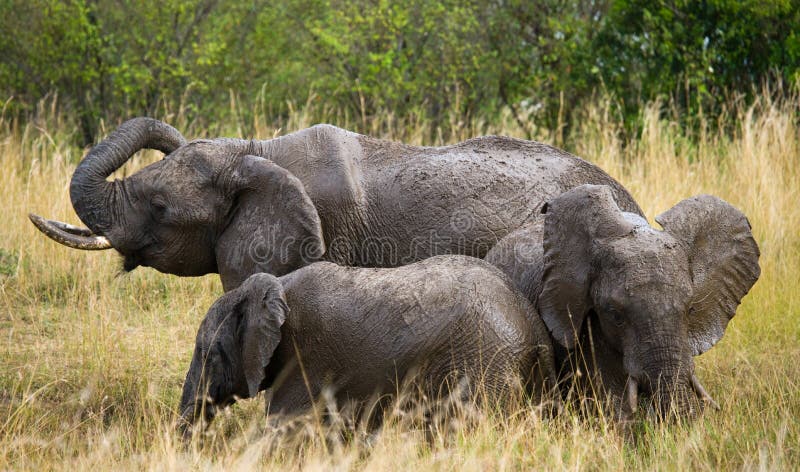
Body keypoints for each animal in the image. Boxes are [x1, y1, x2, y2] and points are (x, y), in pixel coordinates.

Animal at [179, 256, 560, 430]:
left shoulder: (303, 358)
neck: (274, 286)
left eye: (210, 354)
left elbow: (285, 428)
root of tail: (530, 320)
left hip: (483, 363)